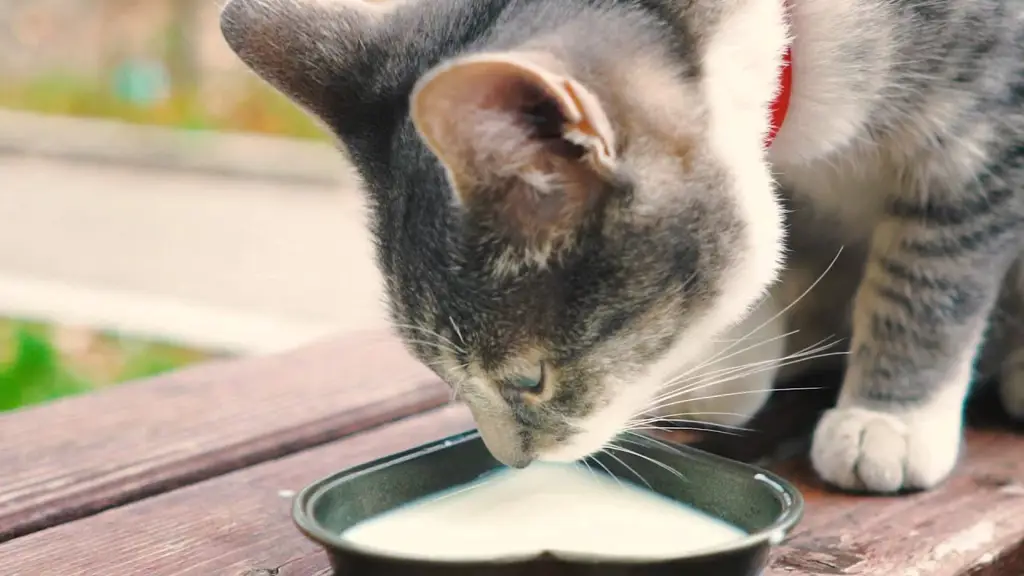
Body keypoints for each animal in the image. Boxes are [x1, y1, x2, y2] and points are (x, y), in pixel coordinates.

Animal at [222, 0, 1024, 494]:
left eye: (529, 380)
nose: (509, 460)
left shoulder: (984, 136)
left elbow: (932, 274)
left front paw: (888, 419)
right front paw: (729, 363)